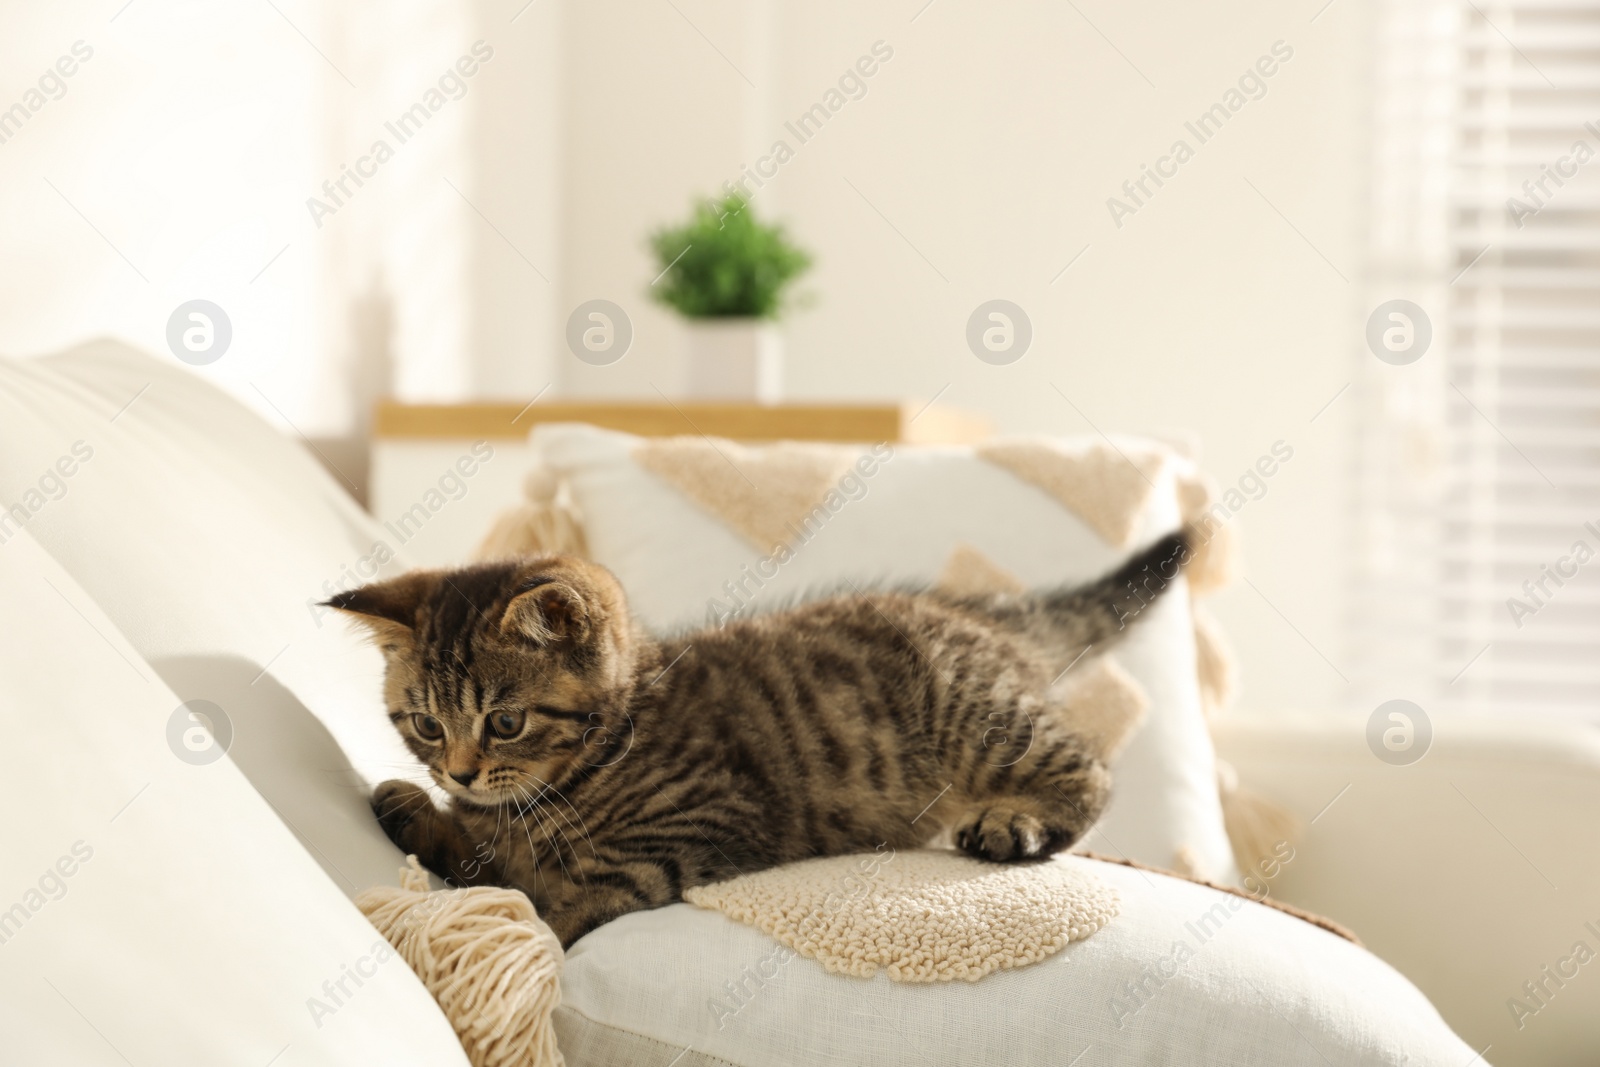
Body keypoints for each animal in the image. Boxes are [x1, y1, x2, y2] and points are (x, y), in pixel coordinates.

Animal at [334, 531, 1190, 940]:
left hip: (975, 719)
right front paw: (417, 810)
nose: (460, 772)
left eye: (505, 722)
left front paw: (542, 927)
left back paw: (1015, 820)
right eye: (427, 724)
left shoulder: (707, 818)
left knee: (1089, 767)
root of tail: (979, 614)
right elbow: (484, 854)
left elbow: (580, 888)